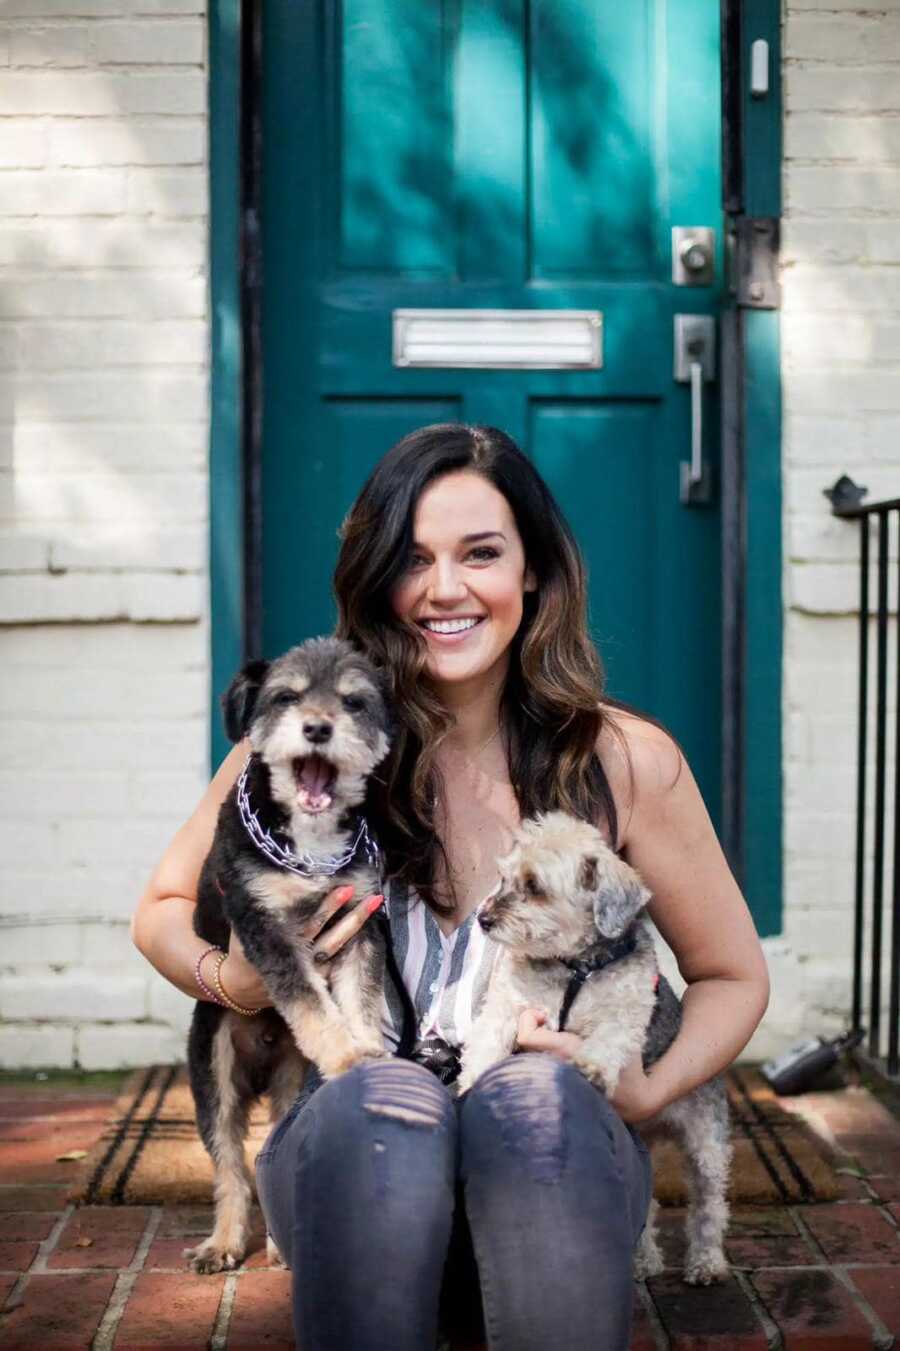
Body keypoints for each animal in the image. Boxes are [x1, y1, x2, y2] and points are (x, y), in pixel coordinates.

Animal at [185, 637, 389, 1269]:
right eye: (286, 697)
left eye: (353, 702)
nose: (318, 728)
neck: (310, 844)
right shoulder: (264, 926)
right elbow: (312, 1002)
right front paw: (346, 1054)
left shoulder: (361, 921)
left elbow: (358, 999)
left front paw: (365, 1048)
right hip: (214, 1066)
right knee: (231, 1165)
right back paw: (224, 1242)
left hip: (291, 1079)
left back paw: (279, 1242)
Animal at [456, 810, 729, 1286]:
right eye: (504, 878)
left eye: (534, 886)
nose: (485, 919)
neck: (574, 968)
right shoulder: (508, 1007)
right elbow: (487, 1039)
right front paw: (470, 1079)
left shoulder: (626, 1010)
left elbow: (609, 1036)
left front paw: (593, 1066)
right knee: (647, 1205)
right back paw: (642, 1261)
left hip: (706, 1144)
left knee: (709, 1205)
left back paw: (707, 1263)